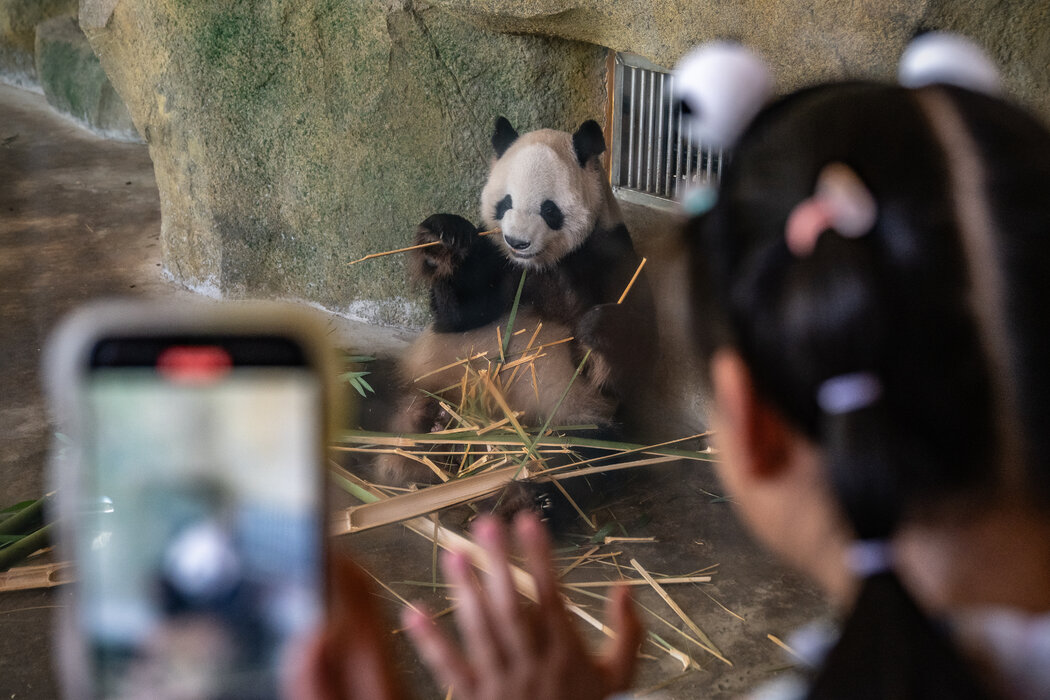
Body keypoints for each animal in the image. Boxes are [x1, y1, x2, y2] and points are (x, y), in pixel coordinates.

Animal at [377, 114, 655, 520]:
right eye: (505, 202)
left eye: (549, 209)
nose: (517, 242)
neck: (539, 265)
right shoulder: (497, 259)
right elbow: (459, 316)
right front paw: (442, 241)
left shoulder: (609, 253)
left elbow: (628, 357)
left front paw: (595, 329)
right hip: (429, 376)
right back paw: (428, 427)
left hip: (573, 415)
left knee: (585, 457)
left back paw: (528, 500)